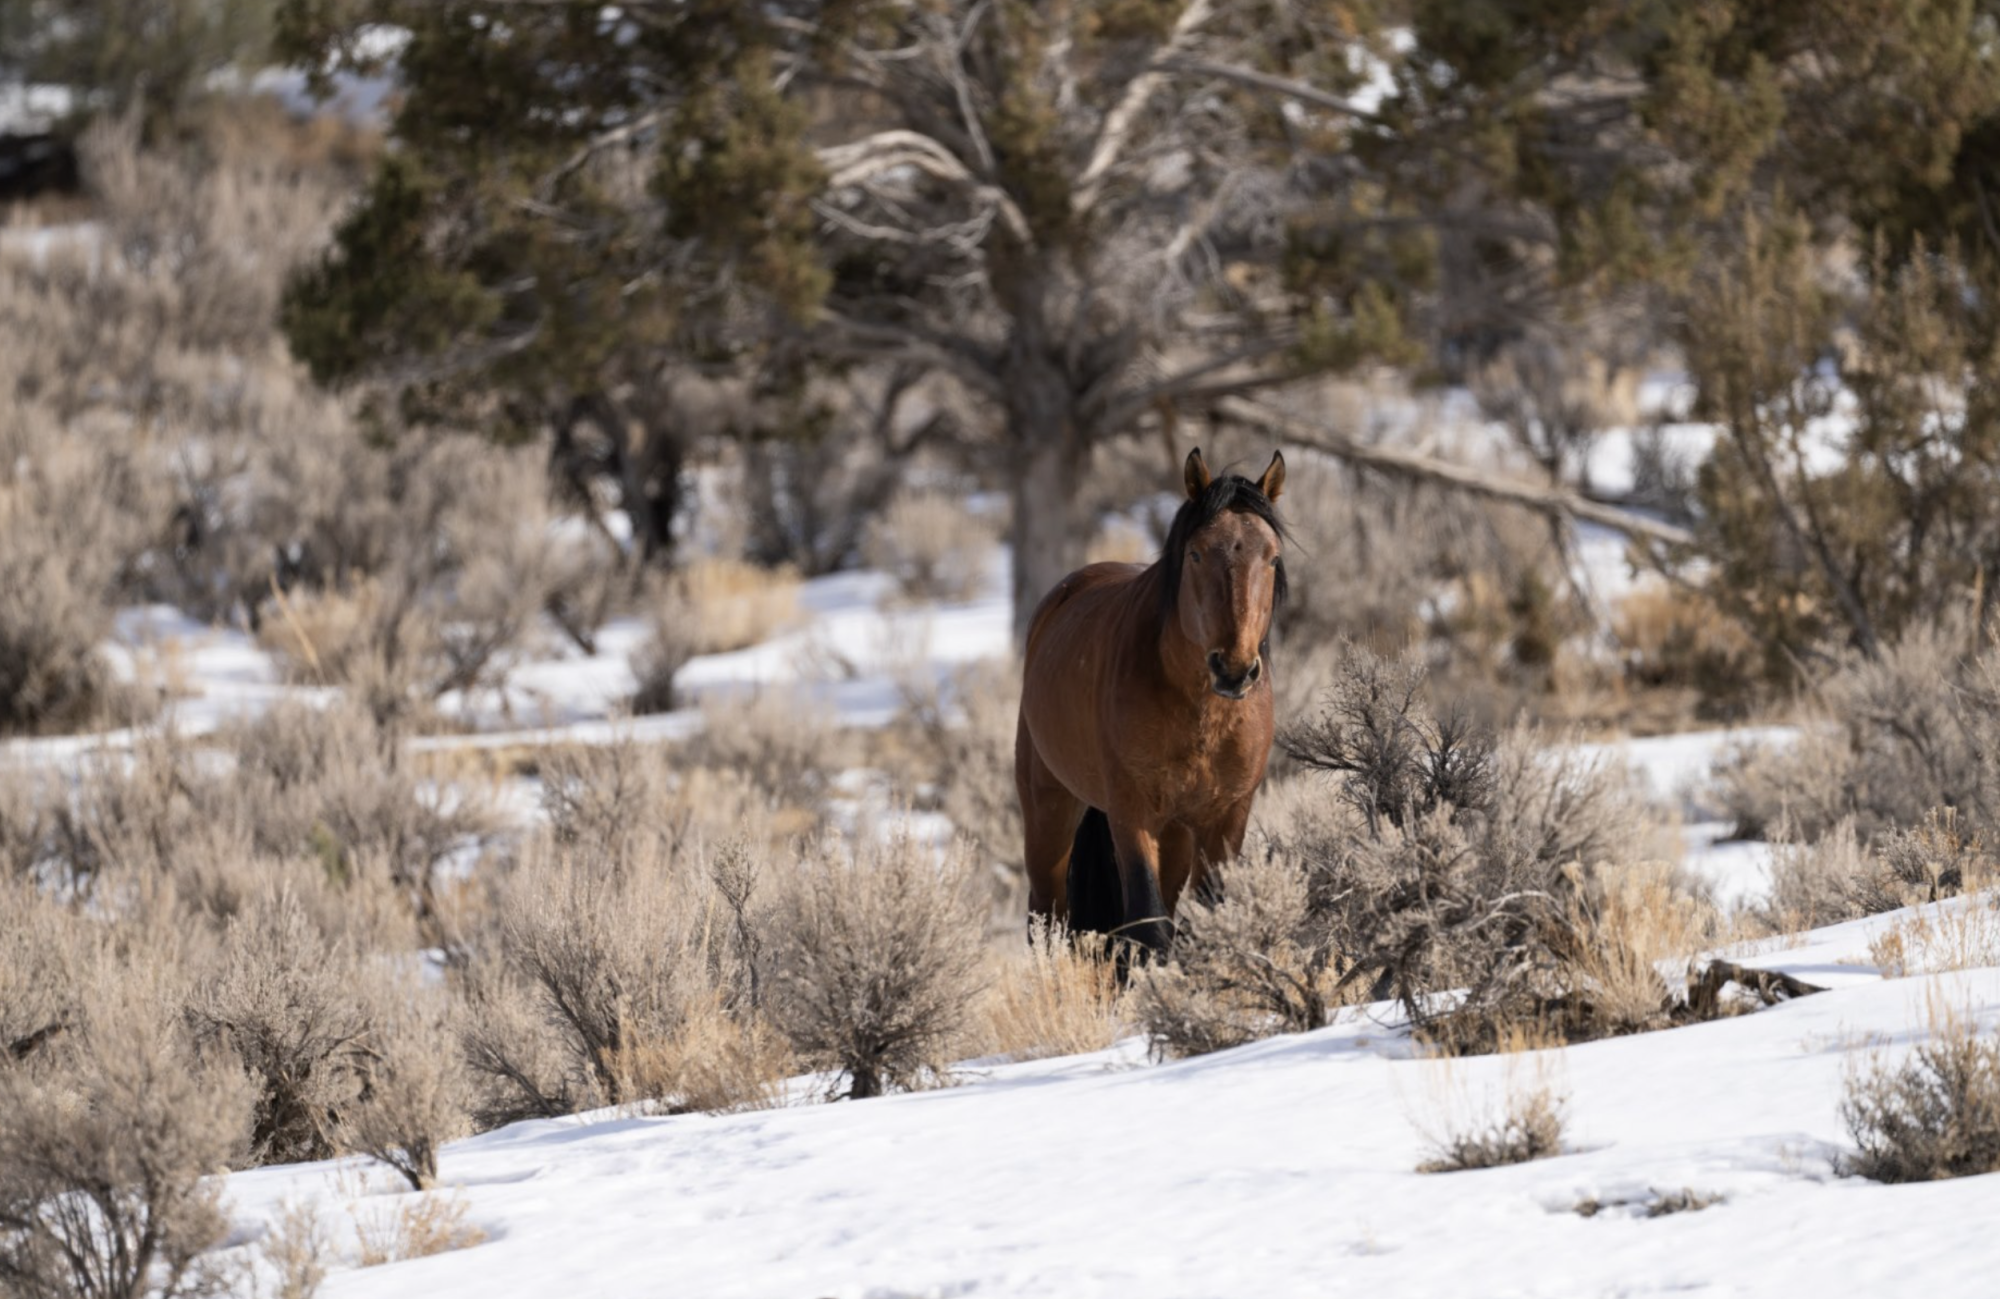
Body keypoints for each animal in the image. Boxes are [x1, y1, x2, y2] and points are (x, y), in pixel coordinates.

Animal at [1024, 441, 1288, 951]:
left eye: (1271, 557)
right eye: (1197, 553)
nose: (1234, 669)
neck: (1200, 713)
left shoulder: (1227, 817)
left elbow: (1210, 916)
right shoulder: (1132, 812)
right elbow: (1149, 927)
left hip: (1177, 834)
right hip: (1049, 810)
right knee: (1045, 918)